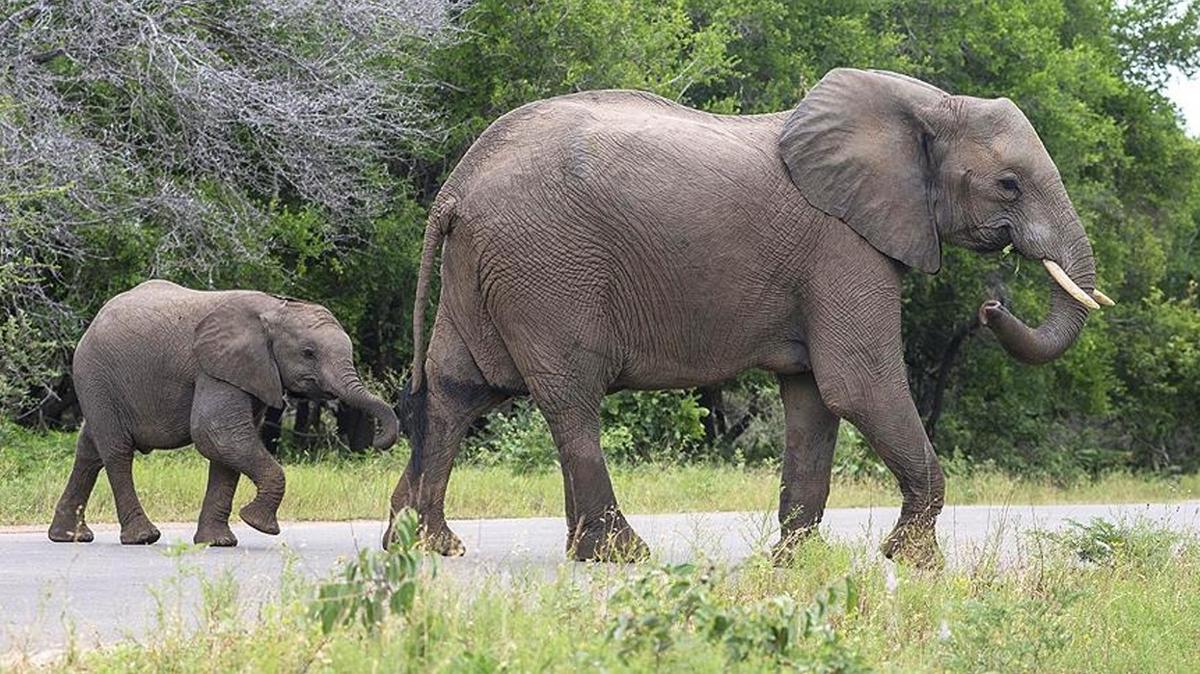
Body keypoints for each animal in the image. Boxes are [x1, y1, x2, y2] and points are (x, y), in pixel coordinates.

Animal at [48, 279, 398, 546]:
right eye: (308, 353)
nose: (379, 441)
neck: (274, 309)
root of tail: (95, 319)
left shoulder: (249, 373)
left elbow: (226, 449)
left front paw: (218, 543)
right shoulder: (215, 368)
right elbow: (216, 433)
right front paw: (258, 524)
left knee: (89, 449)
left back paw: (69, 537)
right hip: (96, 375)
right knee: (117, 451)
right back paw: (143, 537)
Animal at [384, 69, 1104, 561]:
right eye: (1009, 185)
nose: (989, 306)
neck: (925, 105)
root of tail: (455, 186)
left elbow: (814, 399)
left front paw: (794, 562)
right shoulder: (844, 246)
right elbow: (859, 384)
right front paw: (913, 561)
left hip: (482, 269)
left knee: (456, 388)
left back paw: (423, 544)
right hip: (546, 268)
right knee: (570, 398)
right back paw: (618, 555)